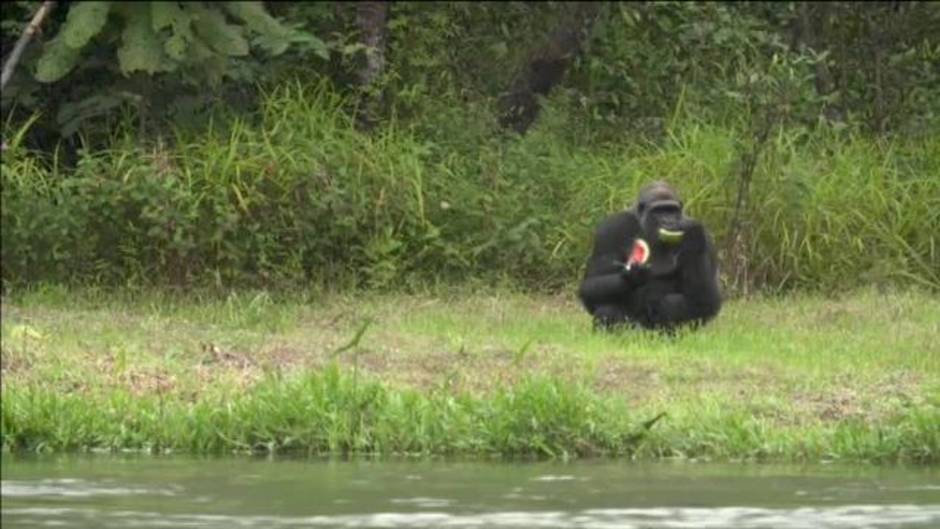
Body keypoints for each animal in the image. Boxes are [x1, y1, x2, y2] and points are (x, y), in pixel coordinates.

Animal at [576, 182, 724, 330]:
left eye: (672, 210)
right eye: (659, 211)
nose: (668, 221)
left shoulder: (705, 236)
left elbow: (707, 301)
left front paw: (693, 237)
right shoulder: (610, 229)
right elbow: (590, 287)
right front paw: (632, 277)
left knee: (673, 303)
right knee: (607, 309)